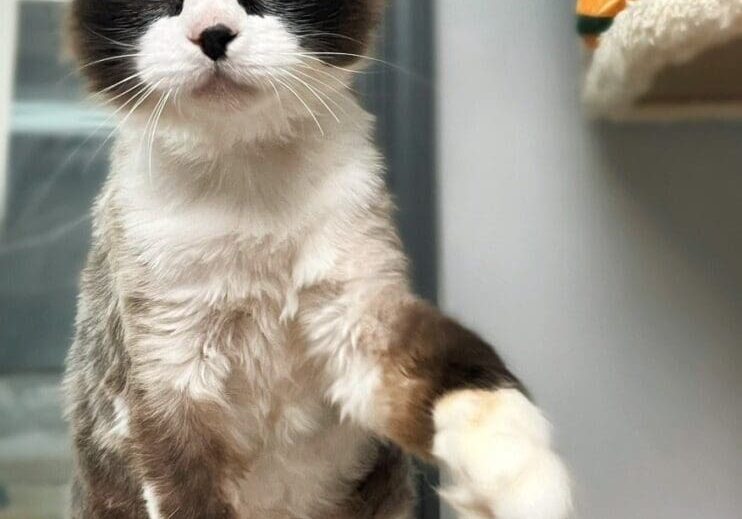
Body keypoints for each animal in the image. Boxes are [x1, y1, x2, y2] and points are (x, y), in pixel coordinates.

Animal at [65, 2, 576, 516]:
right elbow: (190, 498)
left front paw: (520, 476)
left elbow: (466, 370)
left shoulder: (358, 325)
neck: (249, 184)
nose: (212, 34)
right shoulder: (173, 379)